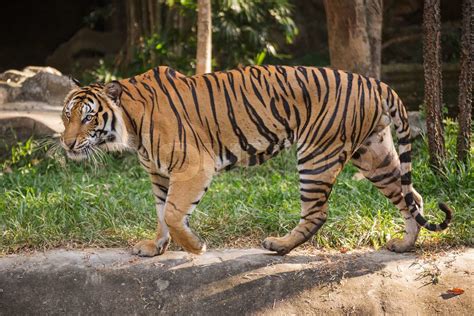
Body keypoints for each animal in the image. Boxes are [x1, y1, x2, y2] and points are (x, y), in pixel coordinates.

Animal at [60, 65, 452, 256]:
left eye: (89, 117)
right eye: (66, 116)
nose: (66, 143)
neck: (130, 125)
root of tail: (376, 83)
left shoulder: (193, 167)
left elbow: (172, 213)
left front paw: (195, 247)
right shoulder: (159, 175)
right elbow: (160, 213)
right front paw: (154, 248)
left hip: (317, 154)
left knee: (317, 213)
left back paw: (279, 246)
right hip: (374, 154)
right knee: (412, 197)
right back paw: (404, 245)